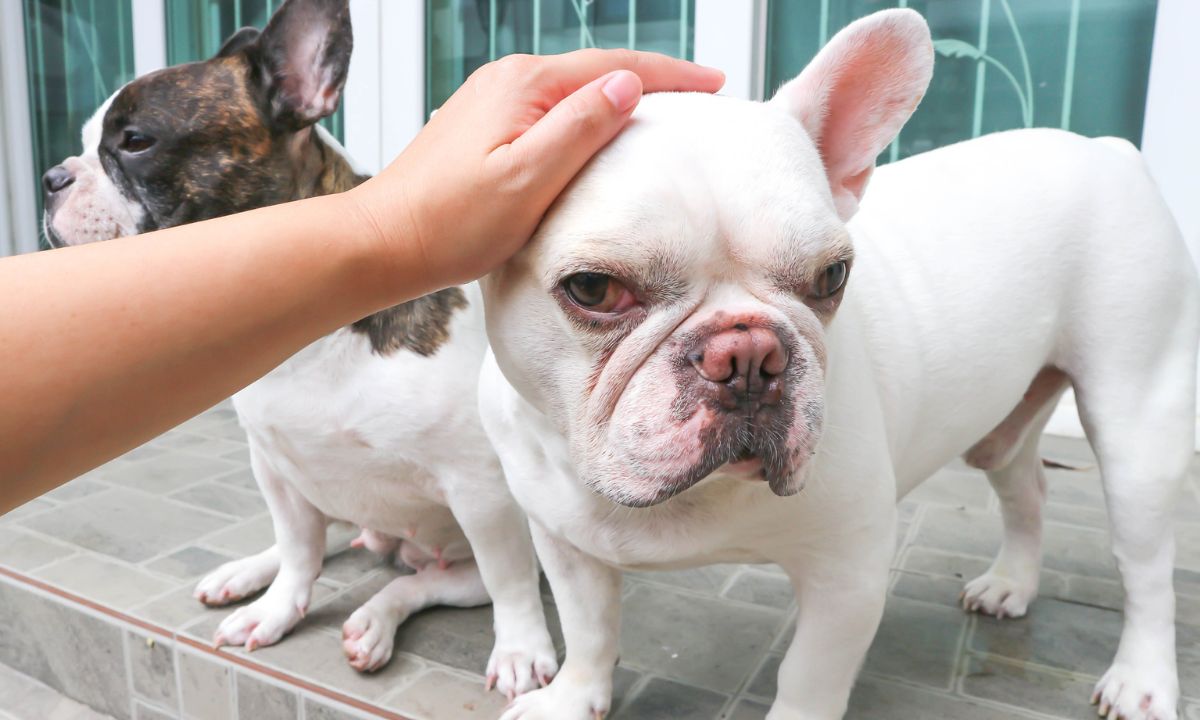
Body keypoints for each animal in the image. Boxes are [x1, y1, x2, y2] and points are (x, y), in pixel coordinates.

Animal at [477, 9, 1200, 720]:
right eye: (593, 289)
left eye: (832, 276)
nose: (748, 354)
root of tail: (1110, 149)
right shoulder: (564, 542)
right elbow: (589, 629)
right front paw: (571, 700)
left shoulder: (848, 572)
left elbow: (807, 677)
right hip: (1007, 426)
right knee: (1027, 488)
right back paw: (1010, 585)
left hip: (1136, 429)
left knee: (1146, 570)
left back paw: (1141, 680)